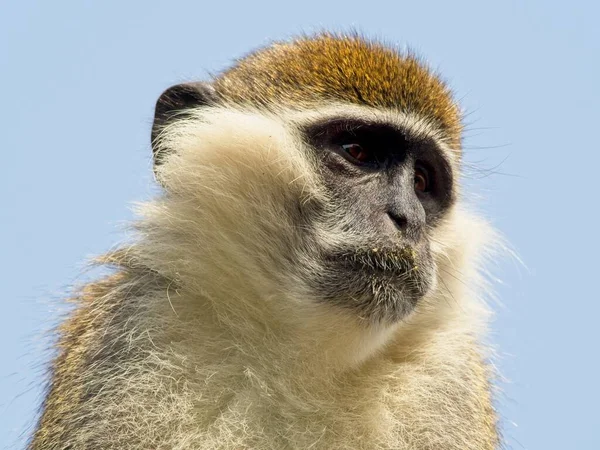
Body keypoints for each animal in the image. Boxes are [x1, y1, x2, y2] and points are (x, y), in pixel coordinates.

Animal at [30, 33, 504, 448]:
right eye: (357, 151)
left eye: (422, 182)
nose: (407, 219)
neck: (299, 362)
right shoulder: (133, 331)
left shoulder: (447, 376)